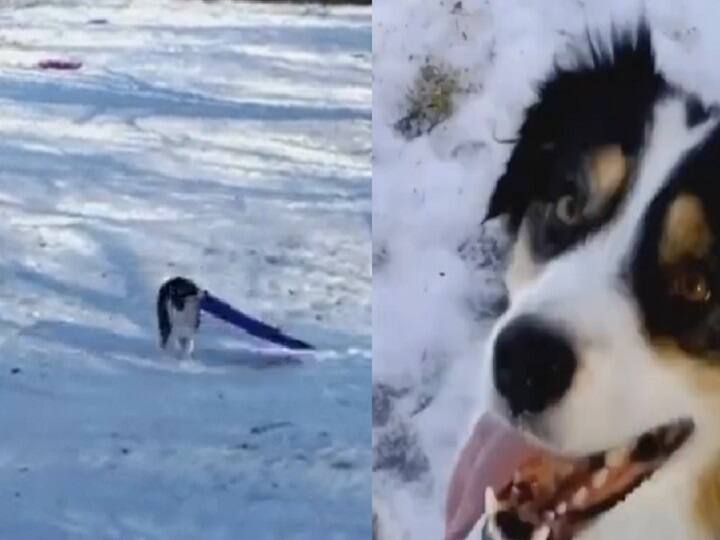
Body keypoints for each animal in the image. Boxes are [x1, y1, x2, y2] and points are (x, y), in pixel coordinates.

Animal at [156, 276, 314, 360]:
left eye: (196, 286)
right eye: (191, 289)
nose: (206, 292)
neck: (183, 310)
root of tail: (171, 279)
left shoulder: (190, 331)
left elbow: (188, 346)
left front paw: (186, 358)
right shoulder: (172, 328)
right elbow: (173, 343)